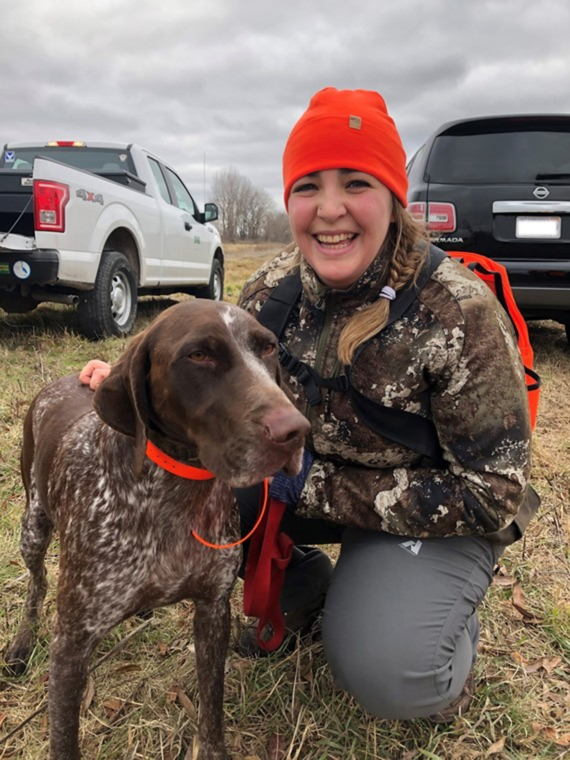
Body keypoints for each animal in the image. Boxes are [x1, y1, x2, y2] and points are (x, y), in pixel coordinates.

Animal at [4, 300, 308, 756]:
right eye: (199, 355)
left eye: (268, 347)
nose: (296, 431)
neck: (175, 496)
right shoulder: (70, 647)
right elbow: (64, 740)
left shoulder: (213, 609)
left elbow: (211, 710)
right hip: (33, 527)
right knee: (37, 582)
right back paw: (22, 641)